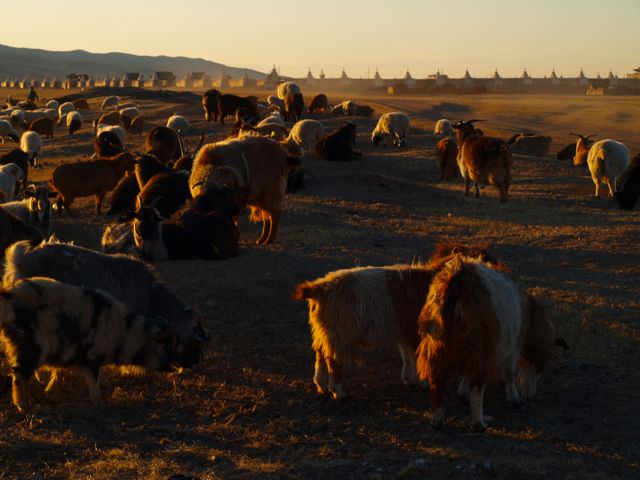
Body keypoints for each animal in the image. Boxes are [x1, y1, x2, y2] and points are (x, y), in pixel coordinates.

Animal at [0, 278, 175, 412]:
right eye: (164, 346)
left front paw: (53, 394)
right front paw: (99, 401)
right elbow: (93, 380)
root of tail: (9, 297)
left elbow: (61, 374)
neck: (123, 333)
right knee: (19, 374)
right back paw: (24, 406)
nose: (173, 368)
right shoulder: (91, 359)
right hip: (31, 347)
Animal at [294, 262, 436, 398]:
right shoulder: (414, 332)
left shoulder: (405, 333)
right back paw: (338, 392)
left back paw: (321, 385)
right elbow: (416, 357)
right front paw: (421, 382)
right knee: (333, 359)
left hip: (322, 332)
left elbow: (407, 356)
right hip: (339, 334)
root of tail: (320, 288)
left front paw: (409, 380)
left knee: (320, 353)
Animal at [418, 255, 552, 432]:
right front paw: (514, 400)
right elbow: (510, 373)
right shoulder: (513, 348)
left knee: (437, 381)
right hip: (478, 345)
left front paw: (462, 393)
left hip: (435, 345)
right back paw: (478, 423)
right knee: (477, 385)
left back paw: (437, 420)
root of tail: (458, 277)